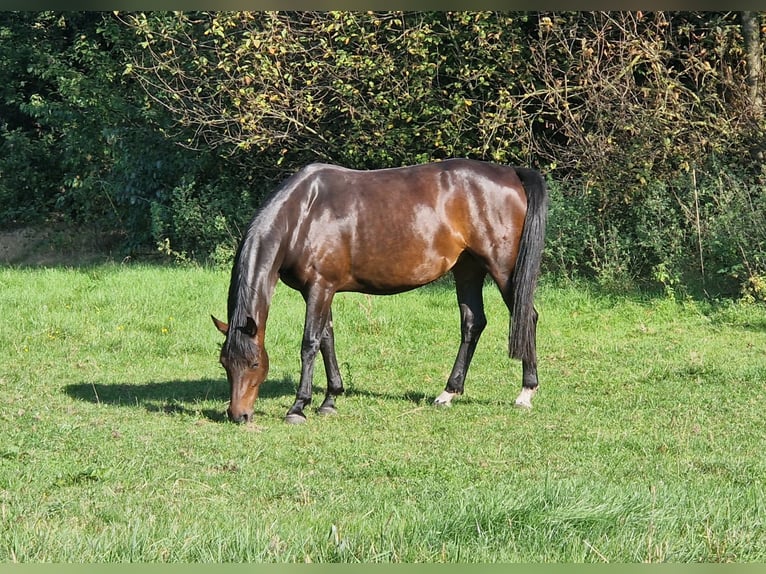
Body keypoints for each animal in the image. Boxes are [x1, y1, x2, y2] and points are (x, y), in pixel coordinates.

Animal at [213, 160, 548, 426]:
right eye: (225, 364)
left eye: (254, 364)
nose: (238, 415)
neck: (303, 214)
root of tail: (511, 173)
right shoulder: (323, 290)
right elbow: (327, 340)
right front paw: (330, 400)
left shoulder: (320, 287)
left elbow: (310, 343)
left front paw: (298, 407)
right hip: (468, 269)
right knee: (473, 323)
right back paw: (448, 393)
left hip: (502, 269)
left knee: (528, 317)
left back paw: (526, 392)